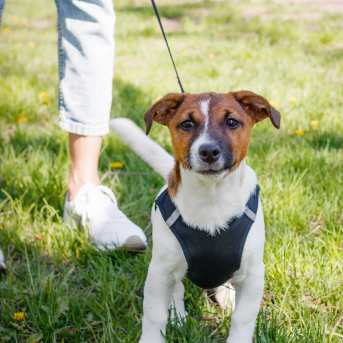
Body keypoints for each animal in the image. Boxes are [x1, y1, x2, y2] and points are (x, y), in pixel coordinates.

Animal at [111, 91, 280, 343]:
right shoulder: (159, 272)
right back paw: (179, 317)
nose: (208, 151)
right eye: (186, 124)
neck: (212, 198)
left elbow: (243, 318)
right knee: (177, 290)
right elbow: (154, 315)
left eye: (232, 122)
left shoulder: (253, 274)